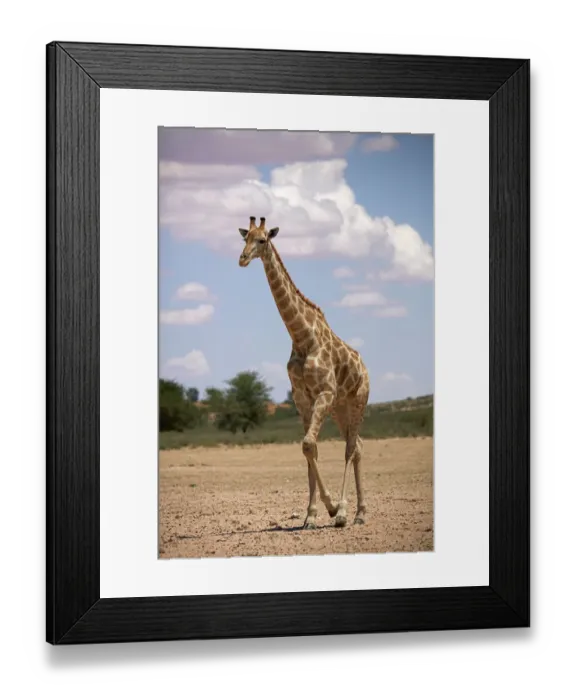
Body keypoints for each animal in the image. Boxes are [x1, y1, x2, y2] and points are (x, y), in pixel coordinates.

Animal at [238, 216, 370, 529]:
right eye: (244, 238)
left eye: (262, 240)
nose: (243, 258)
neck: (302, 337)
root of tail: (365, 367)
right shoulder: (301, 397)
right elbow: (310, 448)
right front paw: (311, 515)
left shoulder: (324, 392)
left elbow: (309, 443)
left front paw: (333, 509)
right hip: (341, 408)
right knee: (358, 445)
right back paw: (360, 512)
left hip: (358, 401)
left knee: (351, 448)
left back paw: (347, 512)